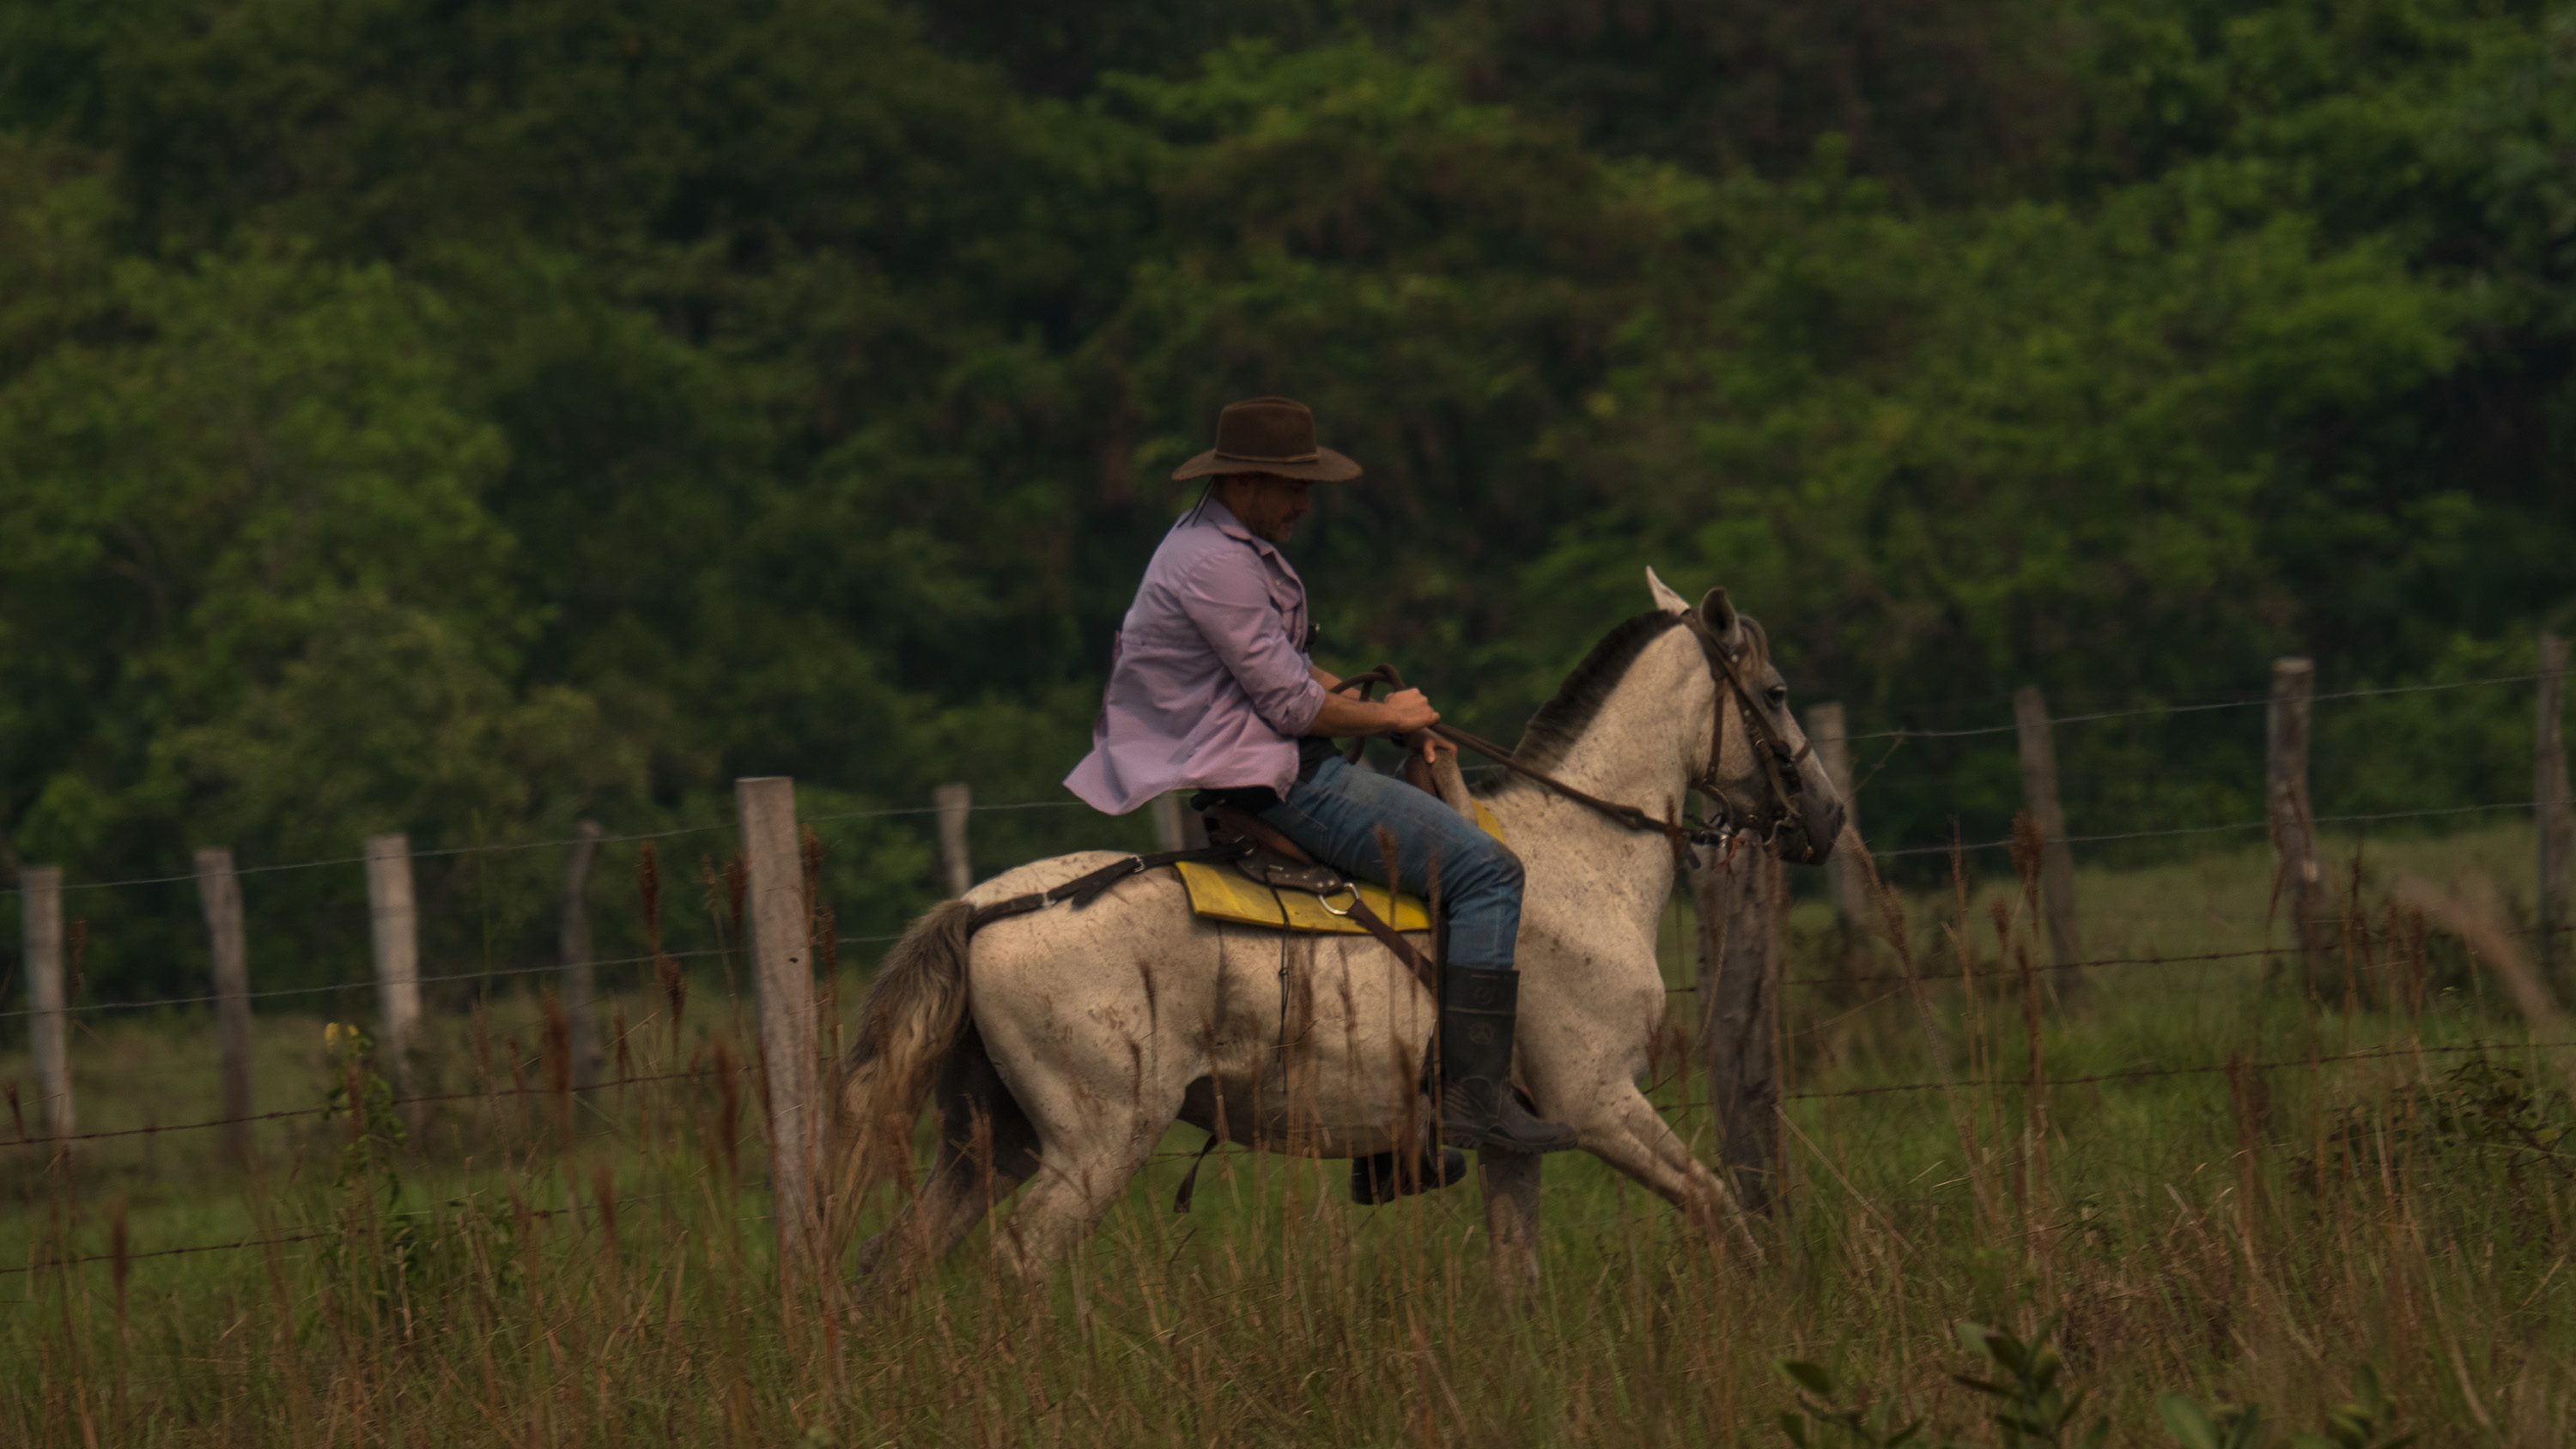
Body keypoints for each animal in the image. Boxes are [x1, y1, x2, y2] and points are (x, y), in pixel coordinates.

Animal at [835, 573, 1844, 1287]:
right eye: (1777, 690)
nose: (1828, 817)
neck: (1581, 853)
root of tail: (981, 908)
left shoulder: (1520, 1136)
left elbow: (1518, 1276)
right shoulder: (1598, 1101)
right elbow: (1724, 1212)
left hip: (989, 1139)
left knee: (897, 1255)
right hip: (1096, 1140)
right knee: (1020, 1259)